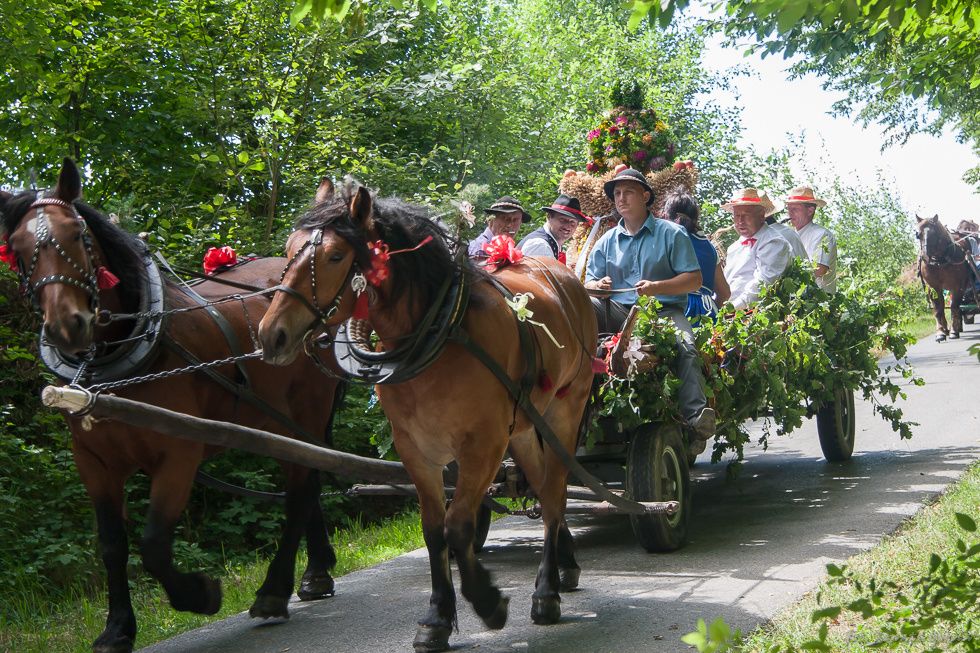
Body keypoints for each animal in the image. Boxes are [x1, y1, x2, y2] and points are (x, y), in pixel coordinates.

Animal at [0, 159, 343, 653]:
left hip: (307, 412)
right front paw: (117, 628)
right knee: (307, 479)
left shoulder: (178, 454)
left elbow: (154, 545)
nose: (68, 325)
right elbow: (112, 545)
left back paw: (274, 591)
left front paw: (200, 593)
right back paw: (316, 572)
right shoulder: (94, 462)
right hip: (273, 424)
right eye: (16, 248)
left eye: (78, 234)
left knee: (301, 491)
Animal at [257, 178, 598, 652]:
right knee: (548, 492)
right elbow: (435, 529)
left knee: (554, 497)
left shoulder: (483, 445)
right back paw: (560, 572)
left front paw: (488, 602)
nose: (271, 335)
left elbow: (459, 526)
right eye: (289, 249)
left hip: (564, 412)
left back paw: (547, 592)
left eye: (336, 256)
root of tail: (565, 277)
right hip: (526, 427)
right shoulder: (416, 449)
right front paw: (437, 617)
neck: (441, 331)